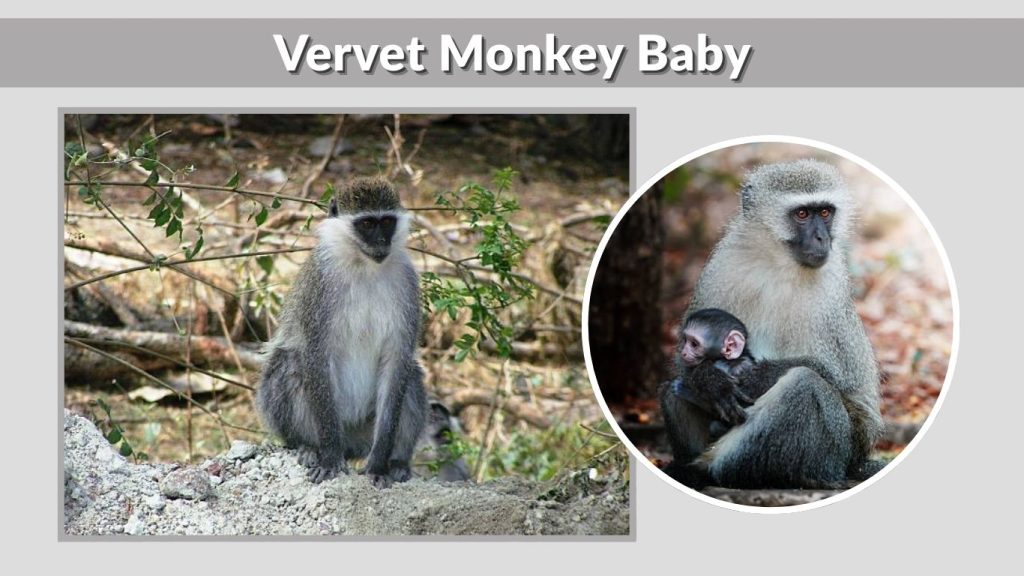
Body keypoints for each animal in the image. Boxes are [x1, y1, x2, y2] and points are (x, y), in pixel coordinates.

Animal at [256, 178, 427, 488]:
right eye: (367, 224)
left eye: (386, 222)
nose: (382, 242)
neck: (364, 266)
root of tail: (351, 441)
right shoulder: (320, 283)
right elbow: (315, 354)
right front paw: (330, 458)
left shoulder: (407, 281)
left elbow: (398, 361)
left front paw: (378, 465)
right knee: (290, 363)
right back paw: (309, 446)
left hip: (364, 431)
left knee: (411, 376)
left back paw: (398, 462)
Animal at [660, 159, 885, 490]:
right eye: (802, 214)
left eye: (825, 213)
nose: (822, 238)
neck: (779, 265)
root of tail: (850, 465)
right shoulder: (723, 266)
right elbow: (684, 360)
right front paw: (709, 380)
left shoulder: (831, 292)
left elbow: (846, 387)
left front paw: (756, 376)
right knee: (674, 387)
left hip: (834, 450)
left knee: (804, 384)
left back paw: (709, 471)